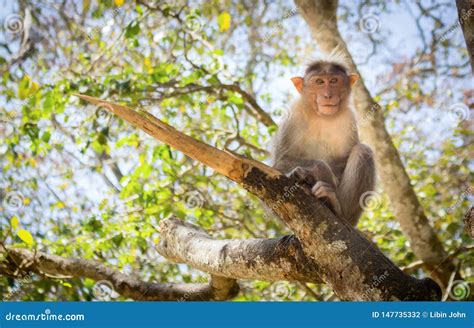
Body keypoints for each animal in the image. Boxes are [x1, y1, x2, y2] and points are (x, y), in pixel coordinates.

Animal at [272, 56, 376, 226]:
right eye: (319, 82)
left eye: (334, 81)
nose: (328, 95)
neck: (321, 116)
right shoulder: (293, 115)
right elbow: (281, 162)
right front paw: (320, 170)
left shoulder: (348, 119)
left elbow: (343, 160)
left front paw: (324, 179)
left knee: (362, 151)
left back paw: (335, 205)